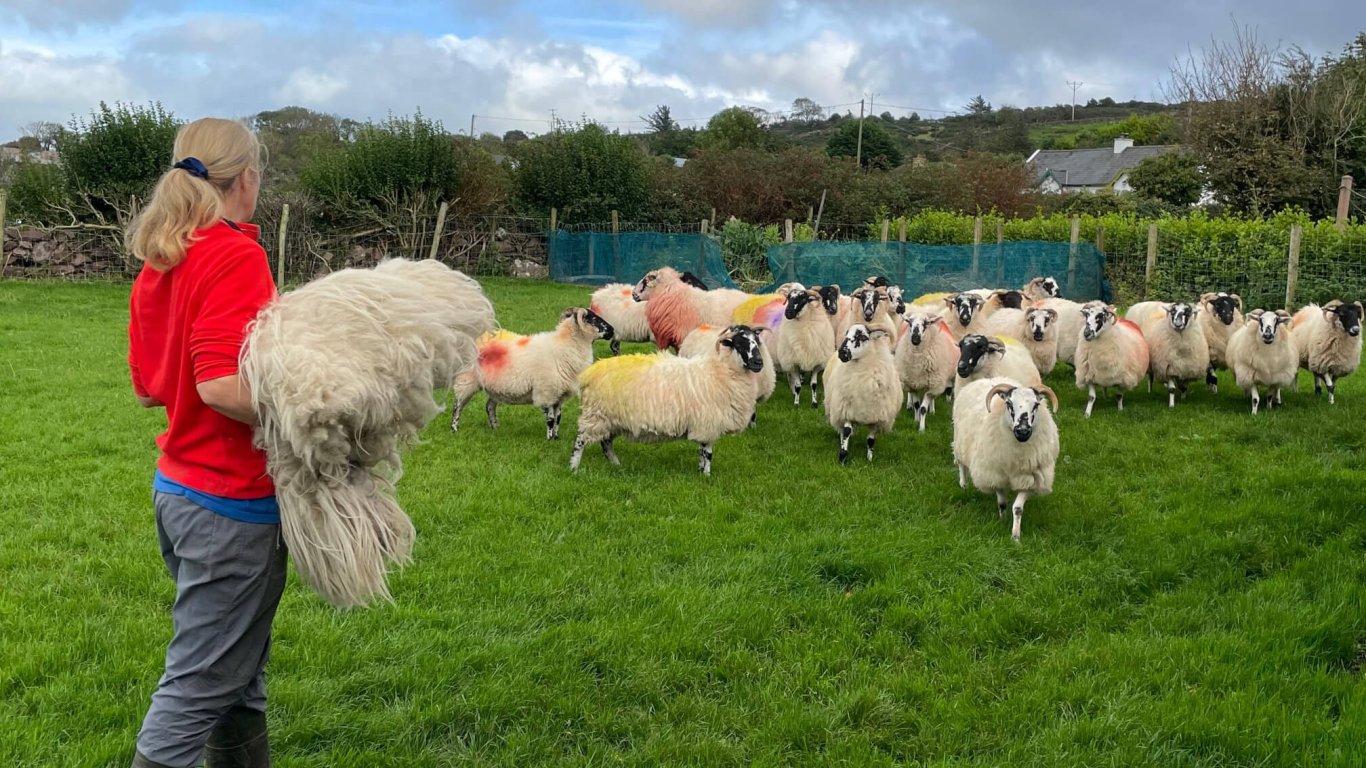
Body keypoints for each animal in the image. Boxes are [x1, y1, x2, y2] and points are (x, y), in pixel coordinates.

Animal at [453, 304, 614, 437]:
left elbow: (558, 418)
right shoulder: (546, 391)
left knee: (489, 406)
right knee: (457, 406)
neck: (564, 346)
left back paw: (495, 428)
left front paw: (556, 438)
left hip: (495, 387)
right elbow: (550, 419)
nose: (612, 330)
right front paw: (549, 440)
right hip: (466, 380)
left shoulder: (559, 394)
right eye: (593, 318)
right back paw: (454, 429)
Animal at [562, 319, 759, 470]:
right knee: (581, 440)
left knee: (606, 442)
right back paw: (574, 467)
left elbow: (704, 452)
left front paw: (701, 472)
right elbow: (707, 453)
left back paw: (616, 464)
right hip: (597, 414)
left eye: (757, 342)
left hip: (612, 418)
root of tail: (590, 372)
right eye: (739, 343)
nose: (758, 362)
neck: (720, 371)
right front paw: (705, 475)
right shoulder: (708, 423)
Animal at [825, 321, 901, 459]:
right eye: (846, 333)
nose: (842, 353)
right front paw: (843, 456)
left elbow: (871, 440)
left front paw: (869, 459)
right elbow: (846, 431)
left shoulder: (876, 417)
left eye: (862, 337)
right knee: (841, 429)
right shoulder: (847, 409)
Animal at [956, 374, 1060, 538]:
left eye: (1036, 405)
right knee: (961, 463)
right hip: (959, 441)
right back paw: (963, 484)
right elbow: (1002, 502)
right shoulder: (995, 474)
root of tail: (987, 378)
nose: (1023, 431)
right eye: (1009, 403)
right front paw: (1002, 520)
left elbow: (1017, 508)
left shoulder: (1029, 478)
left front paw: (1015, 535)